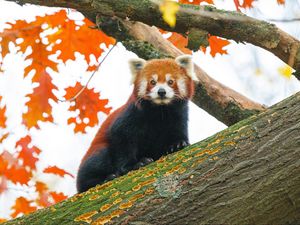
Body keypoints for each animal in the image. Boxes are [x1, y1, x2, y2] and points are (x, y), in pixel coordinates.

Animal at [77, 55, 197, 192]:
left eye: (170, 81)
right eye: (152, 82)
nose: (161, 91)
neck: (160, 111)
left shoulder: (179, 114)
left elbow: (178, 130)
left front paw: (177, 144)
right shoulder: (131, 114)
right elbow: (122, 139)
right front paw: (134, 164)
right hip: (94, 155)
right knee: (98, 158)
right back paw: (103, 179)